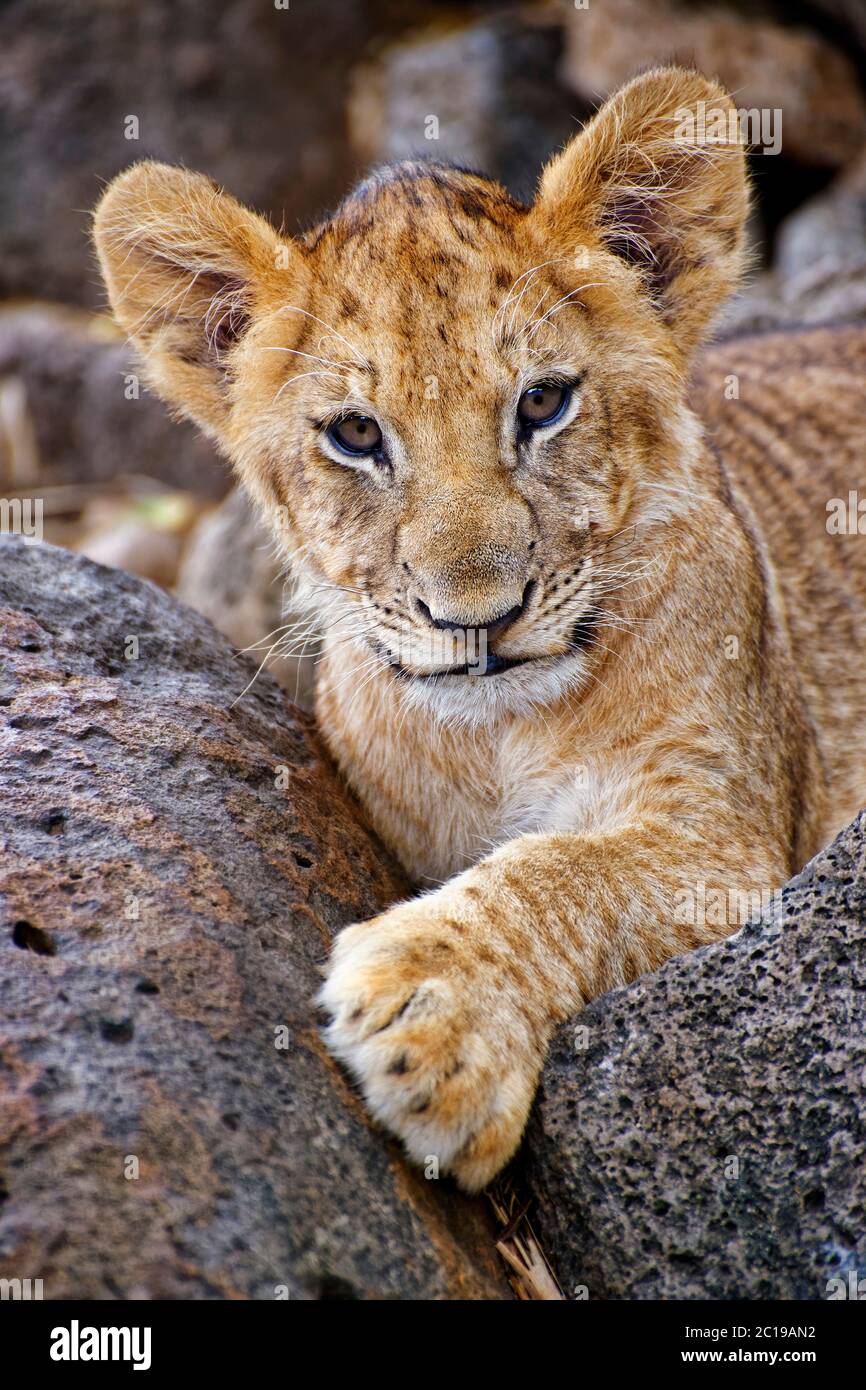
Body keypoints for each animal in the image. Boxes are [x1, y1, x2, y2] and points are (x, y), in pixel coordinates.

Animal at [93, 68, 866, 1191]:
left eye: (542, 403)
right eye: (356, 434)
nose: (479, 619)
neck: (498, 733)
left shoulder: (733, 840)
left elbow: (566, 869)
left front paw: (432, 1007)